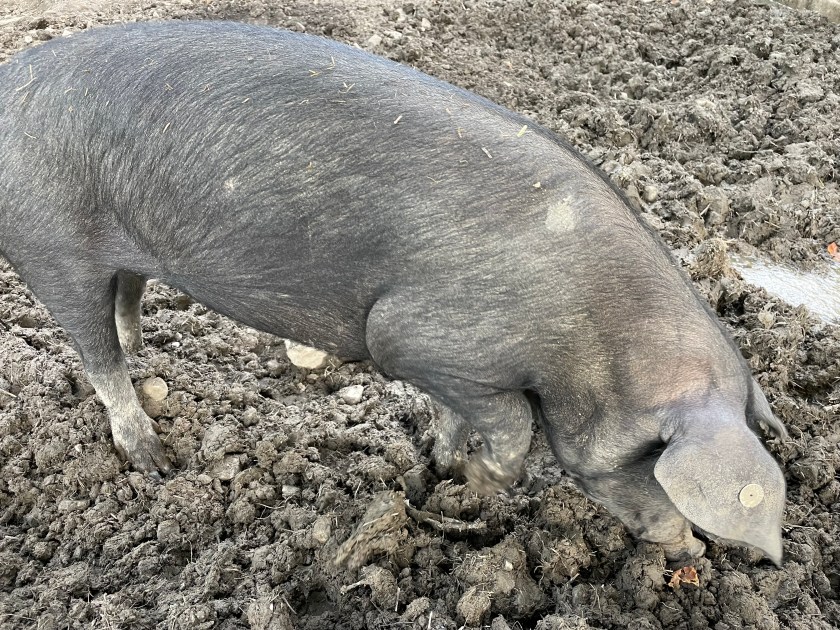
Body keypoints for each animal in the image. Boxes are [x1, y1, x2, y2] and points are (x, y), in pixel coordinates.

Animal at [0, 21, 786, 564]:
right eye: (651, 458)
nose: (688, 548)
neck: (590, 335)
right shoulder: (417, 337)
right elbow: (512, 426)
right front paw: (477, 480)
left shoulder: (457, 366)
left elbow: (460, 414)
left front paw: (443, 466)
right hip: (52, 245)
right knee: (96, 355)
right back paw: (155, 459)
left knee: (125, 297)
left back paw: (147, 354)